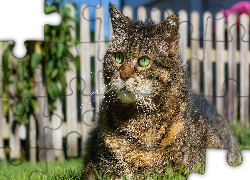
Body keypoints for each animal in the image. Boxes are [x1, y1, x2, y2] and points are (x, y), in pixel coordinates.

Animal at [81, 2, 239, 180]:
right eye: (119, 57)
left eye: (144, 61)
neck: (138, 120)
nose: (124, 75)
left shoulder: (186, 167)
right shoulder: (99, 167)